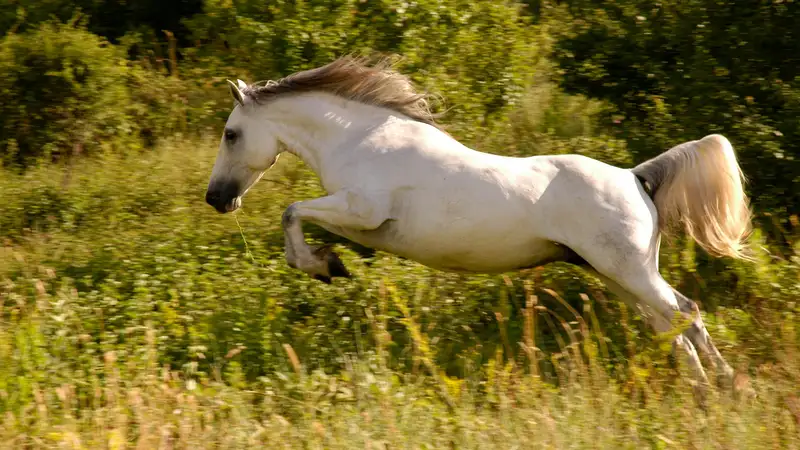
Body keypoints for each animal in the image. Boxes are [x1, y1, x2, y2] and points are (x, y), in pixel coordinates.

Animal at [205, 55, 752, 390]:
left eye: (231, 134)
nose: (216, 198)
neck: (362, 140)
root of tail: (636, 177)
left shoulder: (362, 210)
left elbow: (293, 210)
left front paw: (322, 265)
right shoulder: (359, 221)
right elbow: (302, 218)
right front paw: (330, 262)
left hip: (629, 272)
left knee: (687, 312)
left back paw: (727, 388)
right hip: (616, 275)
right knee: (669, 325)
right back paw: (698, 389)